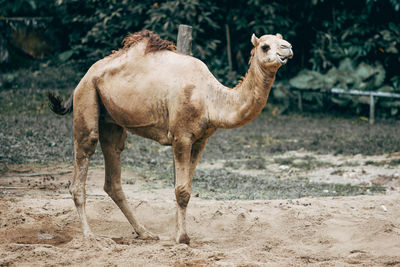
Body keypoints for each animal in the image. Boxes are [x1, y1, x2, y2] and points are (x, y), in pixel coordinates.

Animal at [48, 29, 294, 245]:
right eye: (265, 46)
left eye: (282, 40)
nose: (288, 48)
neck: (210, 99)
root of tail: (86, 76)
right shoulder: (181, 136)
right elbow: (182, 191)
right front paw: (183, 238)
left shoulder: (200, 140)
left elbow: (185, 187)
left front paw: (178, 234)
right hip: (87, 97)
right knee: (82, 161)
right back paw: (90, 237)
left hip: (111, 121)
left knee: (113, 174)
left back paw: (145, 233)